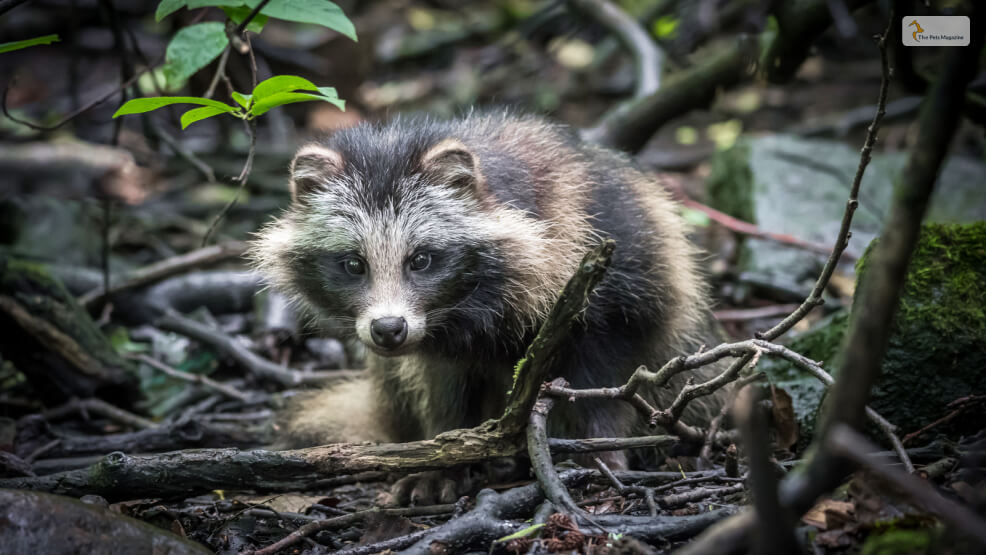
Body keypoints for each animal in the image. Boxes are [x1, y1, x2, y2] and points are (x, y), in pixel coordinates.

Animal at [250, 113, 720, 474]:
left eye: (421, 259)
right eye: (353, 264)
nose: (388, 328)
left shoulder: (620, 263)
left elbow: (608, 371)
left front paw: (600, 443)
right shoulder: (439, 341)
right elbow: (444, 386)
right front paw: (442, 455)